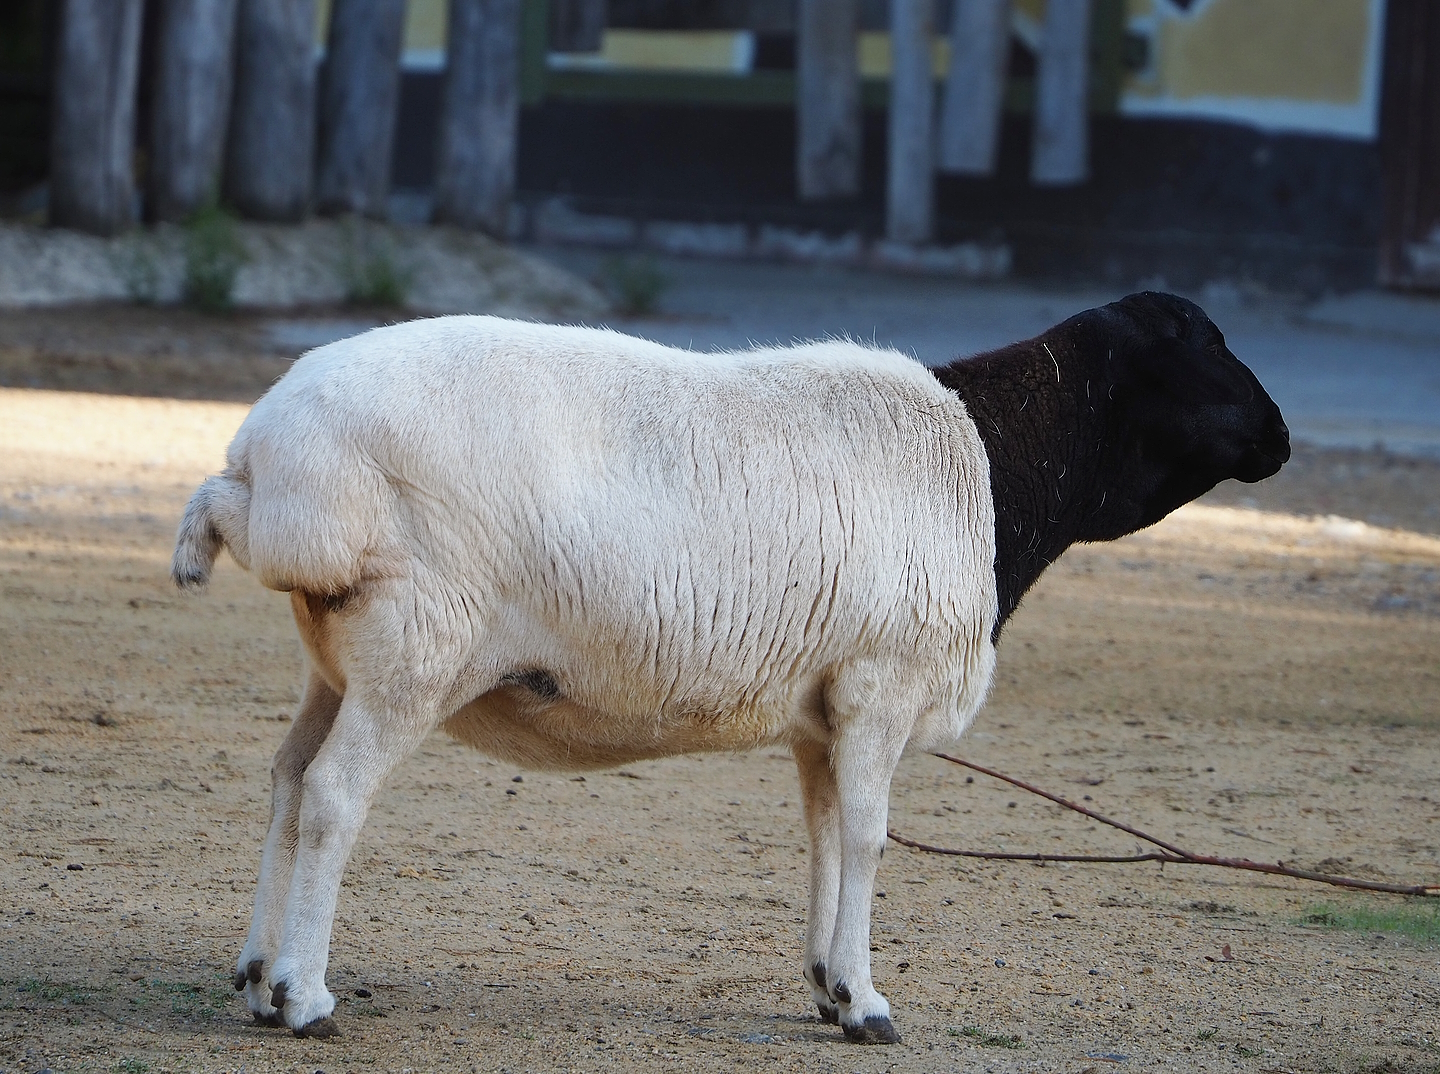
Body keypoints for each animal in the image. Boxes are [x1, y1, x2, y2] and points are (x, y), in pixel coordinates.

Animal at [172, 291, 1289, 1044]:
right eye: (1203, 347)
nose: (1280, 439)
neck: (991, 467)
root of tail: (262, 465)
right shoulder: (881, 684)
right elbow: (872, 839)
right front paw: (868, 1003)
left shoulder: (825, 708)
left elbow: (829, 836)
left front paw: (831, 986)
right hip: (418, 644)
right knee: (332, 796)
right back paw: (306, 997)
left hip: (340, 658)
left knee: (287, 782)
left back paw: (257, 977)